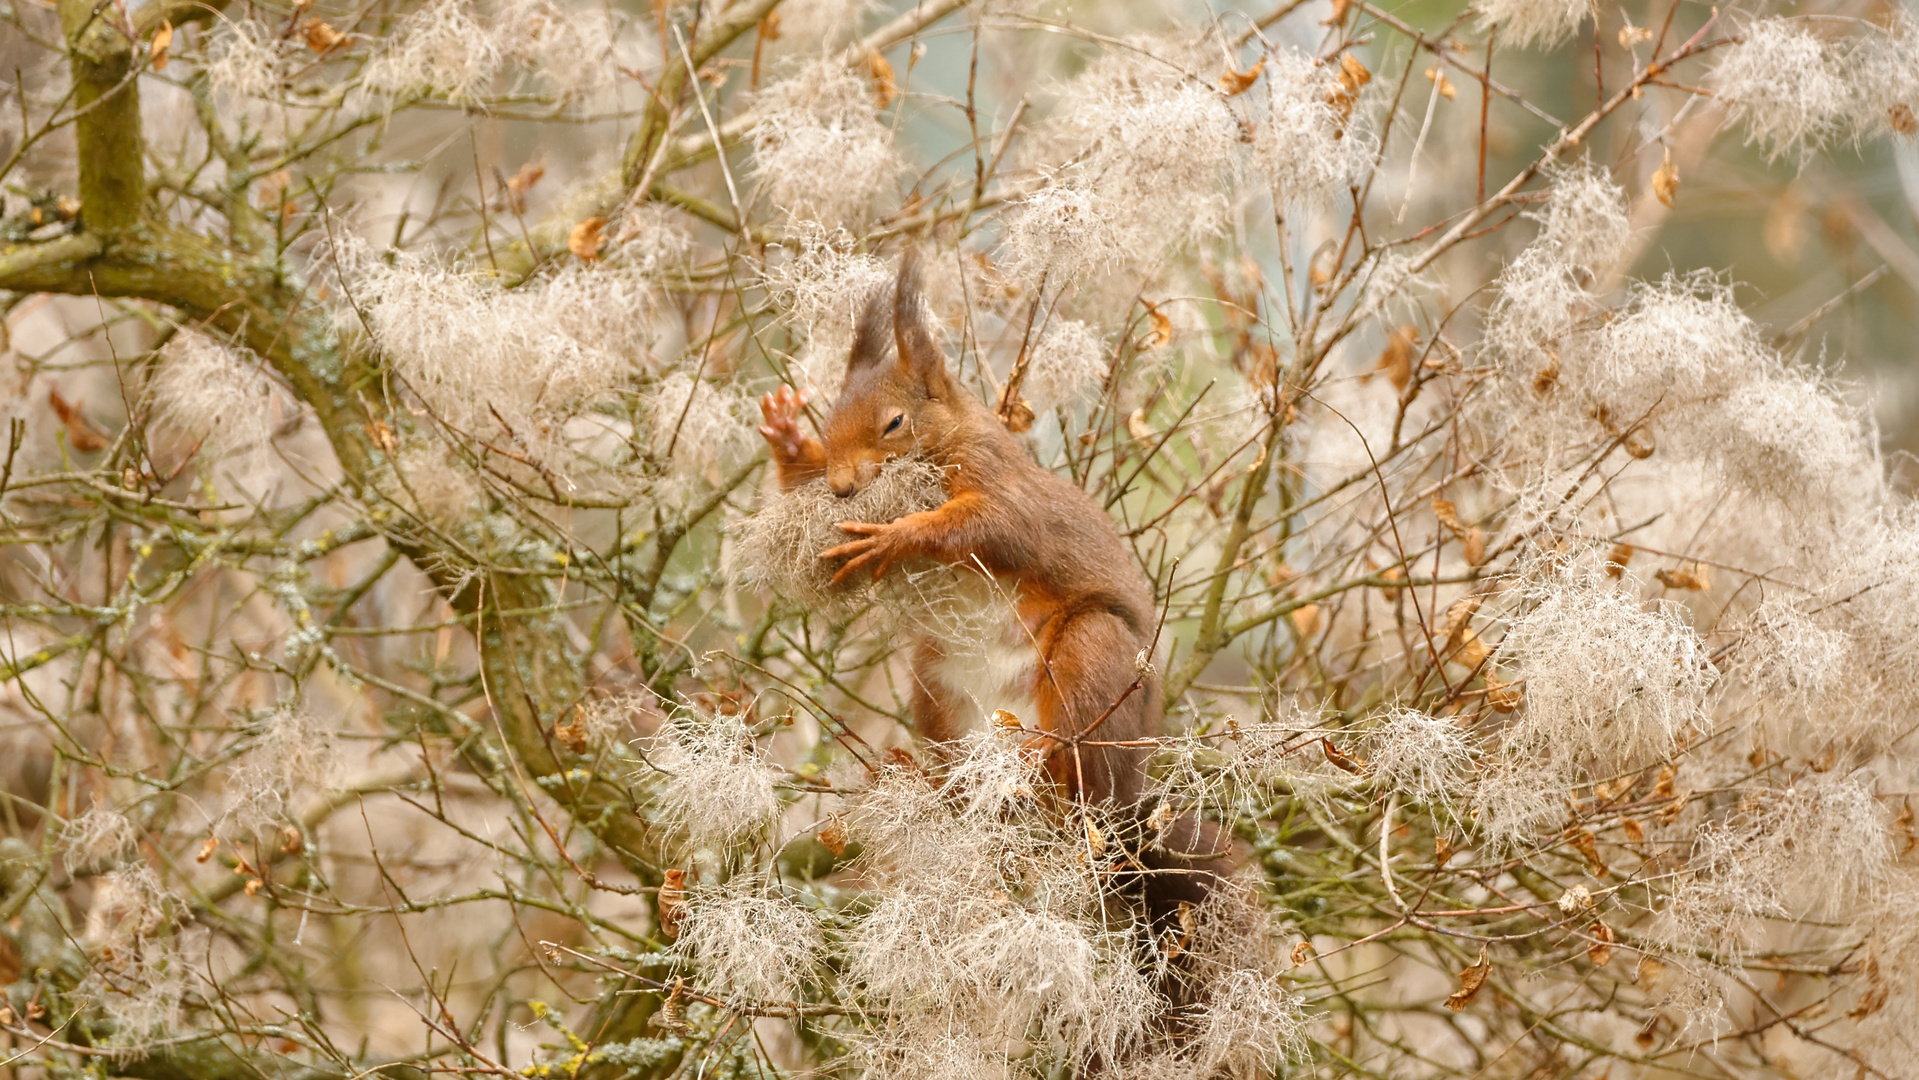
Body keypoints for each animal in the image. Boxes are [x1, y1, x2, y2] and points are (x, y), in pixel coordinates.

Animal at [756, 255, 1220, 920]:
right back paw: (928, 780)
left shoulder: (999, 482)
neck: (949, 439)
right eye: (829, 421)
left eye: (894, 423)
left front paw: (895, 536)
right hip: (934, 684)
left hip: (1094, 658)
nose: (842, 486)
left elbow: (996, 527)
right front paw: (789, 438)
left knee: (1090, 778)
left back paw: (1055, 772)